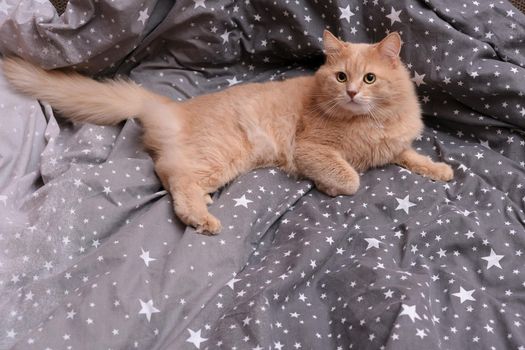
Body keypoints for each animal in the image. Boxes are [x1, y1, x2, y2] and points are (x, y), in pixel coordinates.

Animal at [2, 30, 452, 235]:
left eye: (370, 78)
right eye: (341, 76)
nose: (353, 92)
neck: (369, 122)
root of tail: (170, 107)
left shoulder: (393, 145)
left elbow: (410, 155)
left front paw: (440, 169)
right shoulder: (313, 150)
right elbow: (351, 179)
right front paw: (329, 187)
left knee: (170, 174)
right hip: (221, 154)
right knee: (174, 178)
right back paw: (203, 219)